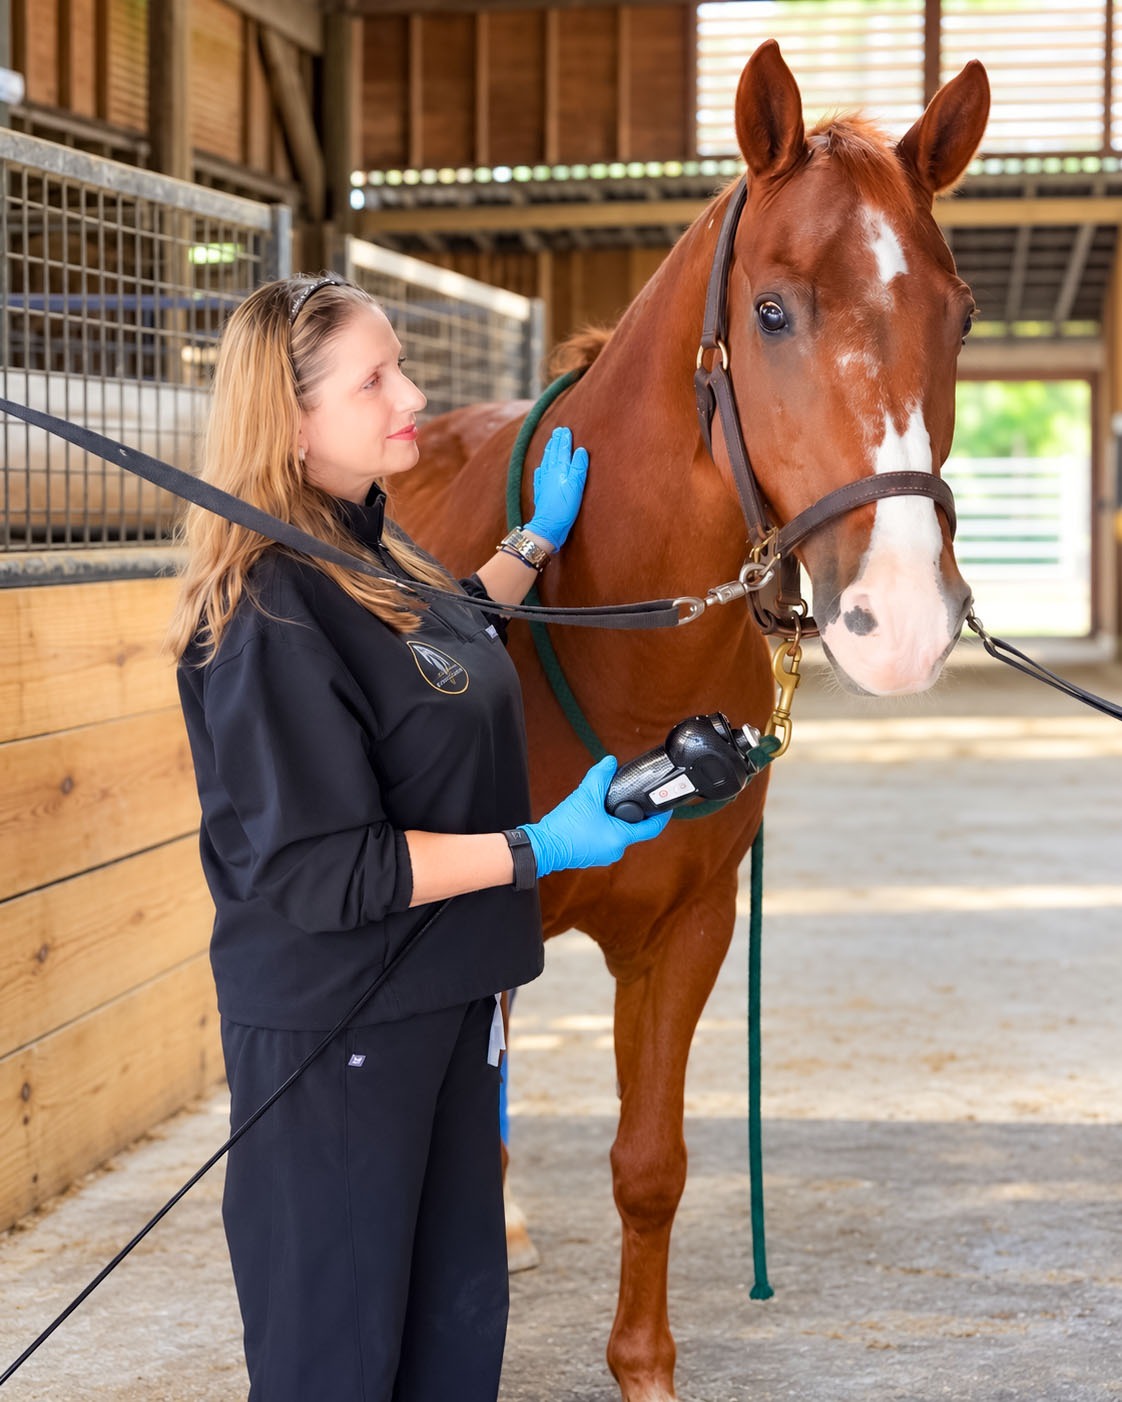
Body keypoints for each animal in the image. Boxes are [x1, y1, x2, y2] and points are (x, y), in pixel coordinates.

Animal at [387, 39, 990, 1402]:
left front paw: (643, 1367)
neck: (607, 631)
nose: (903, 618)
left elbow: (649, 1165)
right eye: (771, 312)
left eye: (963, 314)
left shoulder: (691, 927)